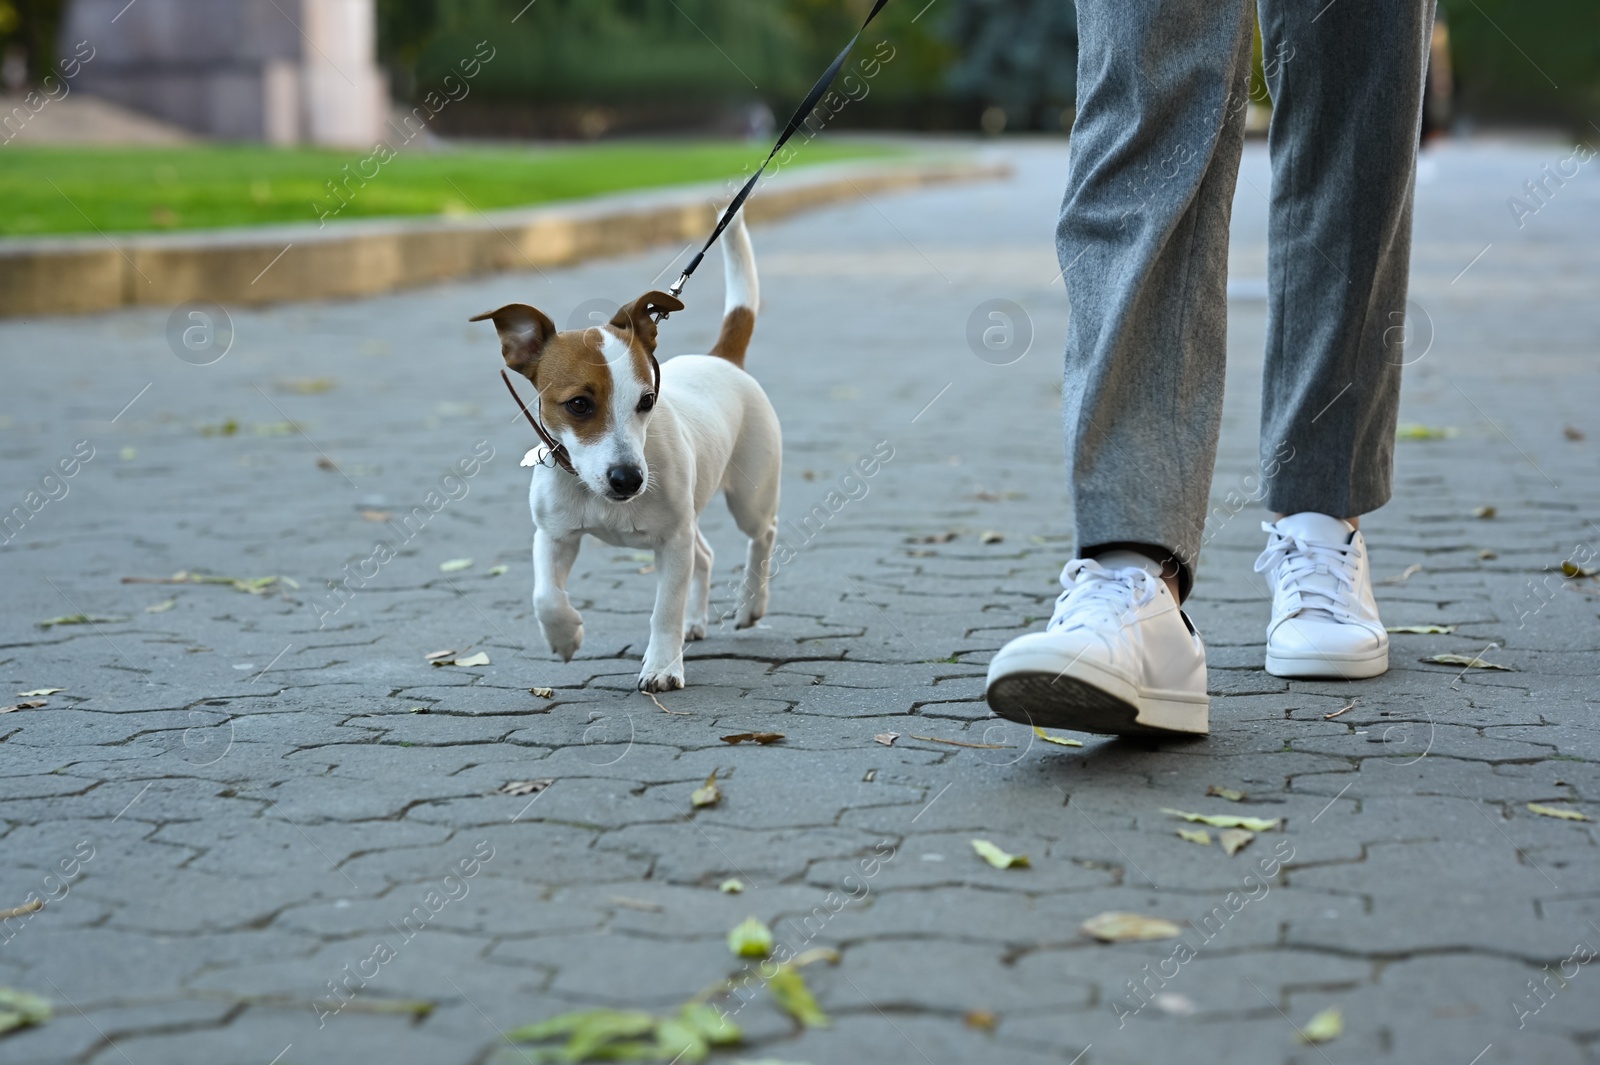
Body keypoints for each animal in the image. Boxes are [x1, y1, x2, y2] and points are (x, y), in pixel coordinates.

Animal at [467, 211, 780, 694]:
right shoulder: (554, 535)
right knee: (706, 555)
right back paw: (696, 622)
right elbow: (545, 595)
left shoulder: (672, 541)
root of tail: (722, 359)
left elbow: (665, 609)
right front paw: (565, 636)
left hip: (750, 496)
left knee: (762, 534)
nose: (629, 480)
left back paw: (751, 605)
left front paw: (664, 666)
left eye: (647, 400)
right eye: (579, 404)